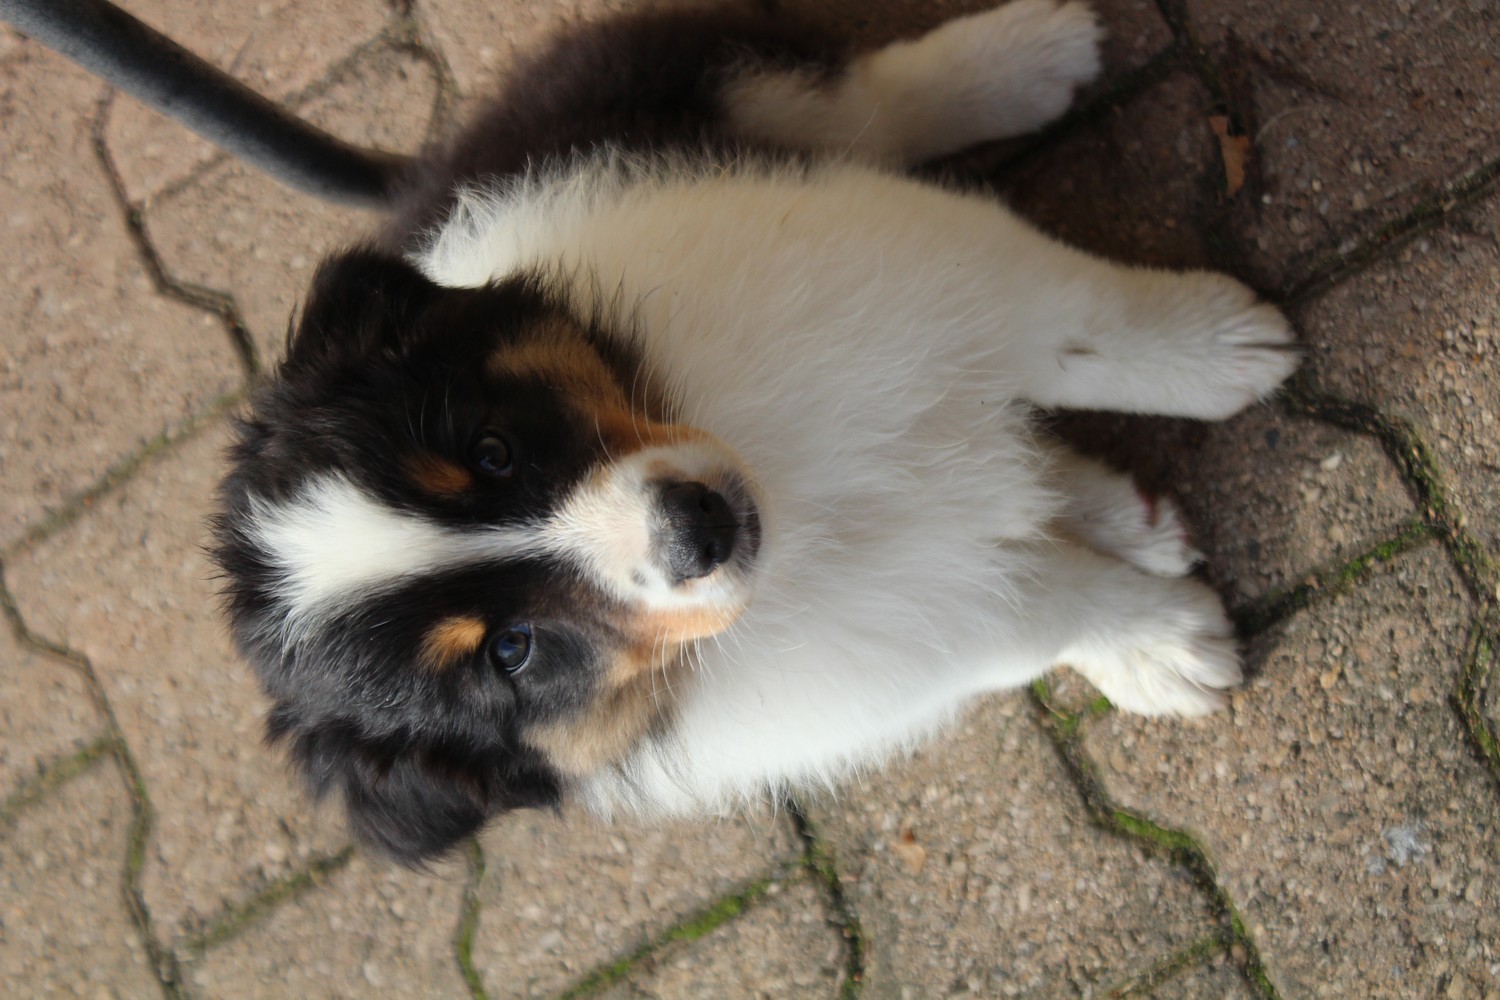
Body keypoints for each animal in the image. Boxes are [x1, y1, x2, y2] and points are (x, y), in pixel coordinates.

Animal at [214, 0, 1302, 863]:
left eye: (493, 450)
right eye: (511, 654)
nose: (699, 527)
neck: (787, 490)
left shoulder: (900, 262)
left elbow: (1074, 325)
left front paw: (1215, 350)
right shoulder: (909, 632)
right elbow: (1042, 611)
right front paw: (1159, 645)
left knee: (859, 100)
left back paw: (1024, 56)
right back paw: (1123, 518)